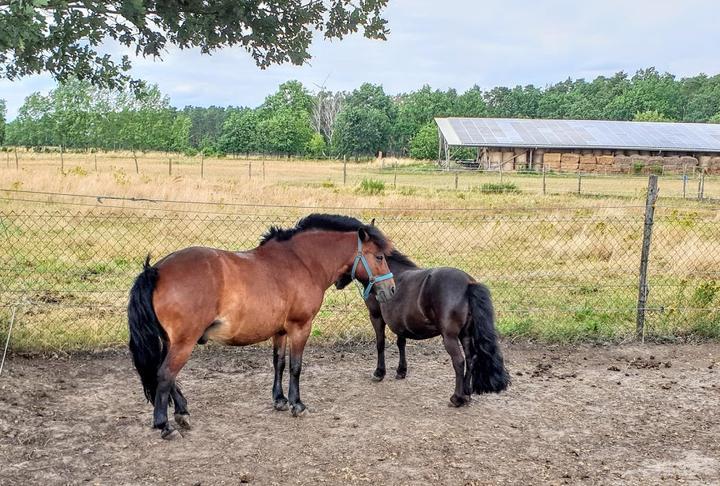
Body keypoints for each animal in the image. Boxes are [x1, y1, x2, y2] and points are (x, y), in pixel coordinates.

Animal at [127, 215, 396, 438]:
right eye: (379, 257)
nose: (391, 289)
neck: (302, 261)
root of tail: (156, 270)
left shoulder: (280, 331)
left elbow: (279, 363)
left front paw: (280, 400)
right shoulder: (300, 327)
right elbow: (296, 367)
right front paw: (297, 404)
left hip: (172, 342)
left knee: (165, 375)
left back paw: (182, 412)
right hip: (184, 342)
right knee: (165, 375)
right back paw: (165, 425)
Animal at [336, 241, 510, 404]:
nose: (336, 281)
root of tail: (468, 284)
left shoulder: (376, 316)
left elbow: (380, 344)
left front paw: (379, 373)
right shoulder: (400, 324)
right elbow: (401, 343)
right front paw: (401, 371)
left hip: (450, 337)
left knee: (459, 361)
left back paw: (457, 398)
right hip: (466, 334)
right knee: (470, 358)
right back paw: (466, 394)